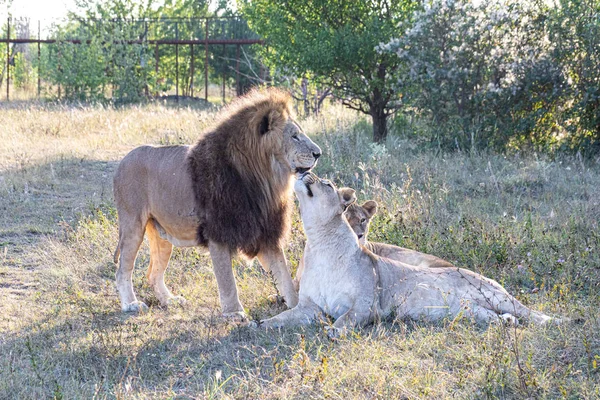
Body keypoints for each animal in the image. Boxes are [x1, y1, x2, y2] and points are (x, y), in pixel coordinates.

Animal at [112, 88, 318, 318]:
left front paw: (298, 307)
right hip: (132, 225)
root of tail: (122, 161)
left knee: (153, 273)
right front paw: (234, 314)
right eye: (294, 136)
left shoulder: (265, 232)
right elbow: (227, 280)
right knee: (123, 269)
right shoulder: (218, 231)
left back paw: (170, 300)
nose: (318, 153)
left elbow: (285, 279)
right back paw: (131, 304)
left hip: (160, 233)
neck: (266, 178)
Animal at [262, 172, 556, 334]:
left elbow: (347, 318)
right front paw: (260, 323)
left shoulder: (368, 305)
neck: (320, 241)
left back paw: (553, 321)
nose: (304, 172)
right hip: (474, 312)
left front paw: (333, 331)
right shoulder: (309, 307)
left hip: (496, 295)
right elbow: (283, 317)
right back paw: (508, 323)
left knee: (527, 311)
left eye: (327, 184)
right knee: (497, 318)